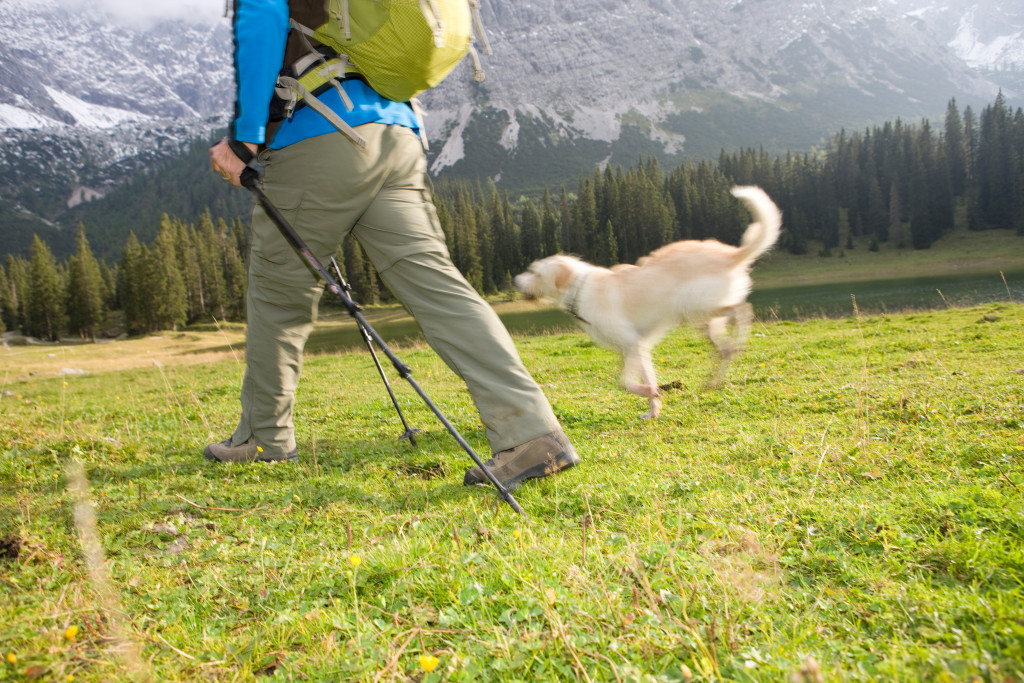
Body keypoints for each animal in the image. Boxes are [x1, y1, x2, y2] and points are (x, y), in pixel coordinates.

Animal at [512, 187, 782, 421]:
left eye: (534, 272)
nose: (515, 281)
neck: (578, 289)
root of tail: (732, 254)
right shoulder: (633, 349)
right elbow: (634, 380)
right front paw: (653, 409)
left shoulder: (633, 344)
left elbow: (625, 382)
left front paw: (651, 395)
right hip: (703, 321)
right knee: (725, 348)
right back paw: (714, 380)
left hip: (697, 307)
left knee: (743, 309)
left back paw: (739, 342)